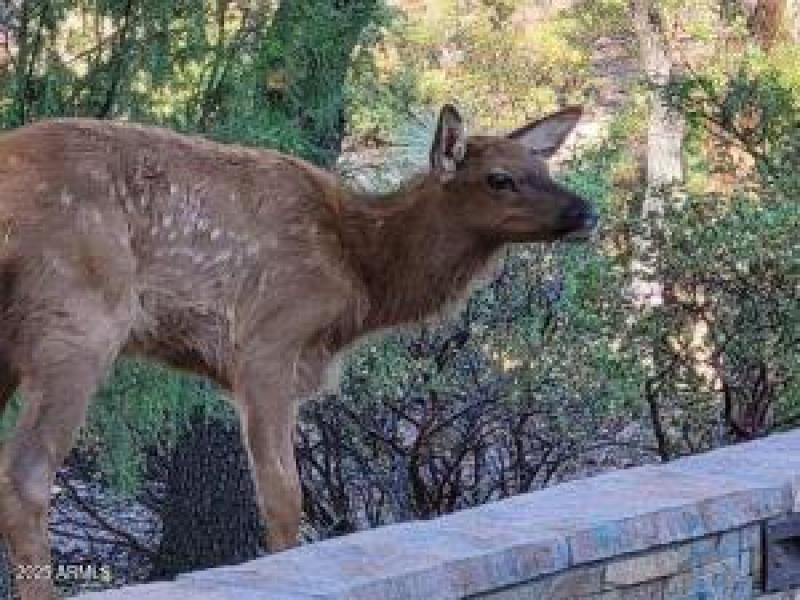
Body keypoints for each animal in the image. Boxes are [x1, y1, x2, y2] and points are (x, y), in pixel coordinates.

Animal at [0, 104, 596, 599]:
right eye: (500, 179)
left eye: (546, 170)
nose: (586, 212)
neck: (361, 275)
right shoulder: (268, 342)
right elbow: (285, 496)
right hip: (79, 316)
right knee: (28, 475)